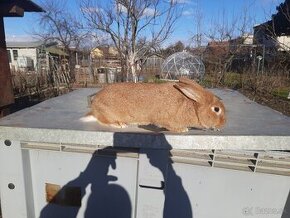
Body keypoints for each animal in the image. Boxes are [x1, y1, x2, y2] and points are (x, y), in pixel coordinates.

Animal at [81, 77, 227, 132]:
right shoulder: (165, 119)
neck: (191, 106)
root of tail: (94, 106)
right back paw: (120, 124)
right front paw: (183, 130)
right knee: (103, 120)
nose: (223, 124)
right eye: (216, 109)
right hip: (107, 112)